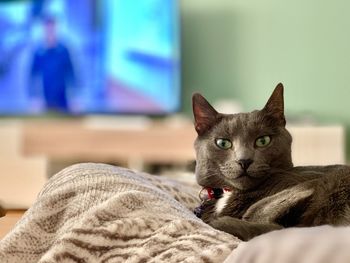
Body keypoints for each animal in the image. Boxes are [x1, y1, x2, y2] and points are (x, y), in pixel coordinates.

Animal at [191, 83, 350, 242]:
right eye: (223, 143)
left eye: (263, 140)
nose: (244, 160)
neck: (230, 194)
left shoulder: (311, 180)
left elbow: (259, 210)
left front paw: (221, 223)